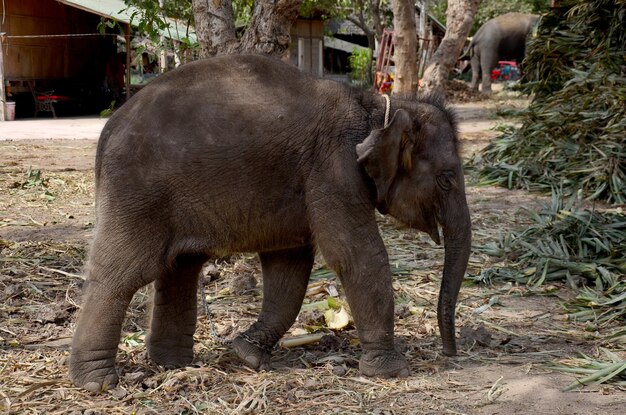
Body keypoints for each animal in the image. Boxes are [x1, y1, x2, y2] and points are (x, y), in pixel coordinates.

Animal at [69, 54, 468, 394]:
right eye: (447, 179)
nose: (450, 354)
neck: (375, 105)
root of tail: (107, 130)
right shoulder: (334, 167)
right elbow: (354, 255)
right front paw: (391, 371)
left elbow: (289, 265)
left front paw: (246, 354)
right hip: (136, 194)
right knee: (123, 274)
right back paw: (97, 383)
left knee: (179, 269)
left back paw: (173, 365)